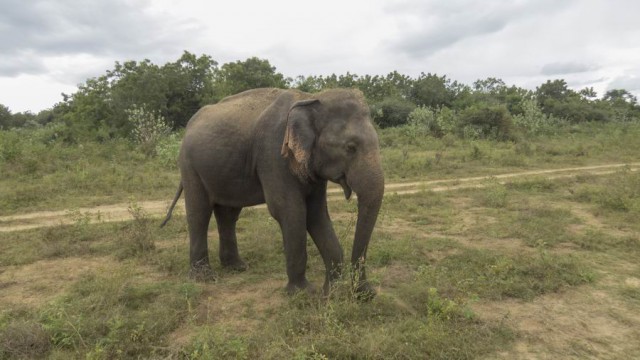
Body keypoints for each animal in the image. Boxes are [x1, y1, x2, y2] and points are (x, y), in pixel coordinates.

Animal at [162, 87, 384, 298]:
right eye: (350, 147)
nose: (364, 293)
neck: (310, 98)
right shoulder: (273, 154)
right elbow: (289, 210)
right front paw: (304, 293)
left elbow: (317, 213)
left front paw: (332, 293)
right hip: (189, 165)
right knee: (199, 211)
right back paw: (204, 278)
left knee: (228, 214)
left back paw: (236, 267)